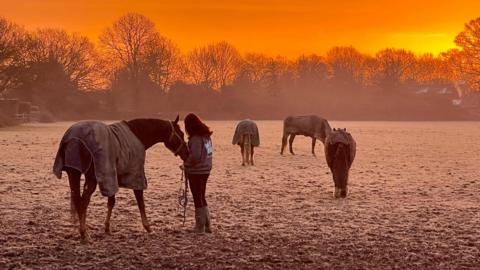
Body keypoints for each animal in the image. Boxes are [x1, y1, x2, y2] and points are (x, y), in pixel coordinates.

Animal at [52, 115, 188, 239]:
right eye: (181, 133)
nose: (186, 152)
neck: (138, 134)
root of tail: (73, 139)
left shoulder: (112, 176)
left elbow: (111, 202)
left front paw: (107, 228)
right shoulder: (134, 175)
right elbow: (140, 201)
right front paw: (148, 227)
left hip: (75, 174)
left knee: (78, 200)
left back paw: (82, 231)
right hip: (92, 178)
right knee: (84, 200)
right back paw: (84, 233)